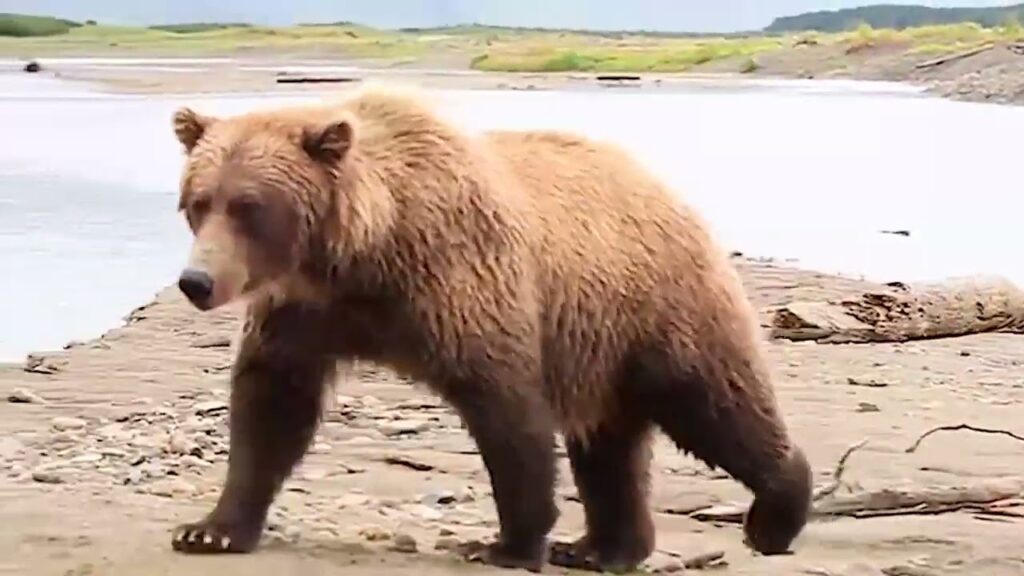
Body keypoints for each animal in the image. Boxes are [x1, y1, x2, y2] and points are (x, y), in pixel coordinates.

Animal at [166, 85, 813, 573]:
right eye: (198, 201)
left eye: (249, 206)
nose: (197, 281)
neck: (362, 254)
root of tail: (667, 189)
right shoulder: (303, 315)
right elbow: (270, 406)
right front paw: (211, 528)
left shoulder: (463, 281)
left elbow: (504, 408)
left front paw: (505, 543)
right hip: (599, 344)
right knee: (608, 444)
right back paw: (604, 548)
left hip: (659, 308)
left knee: (714, 403)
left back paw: (775, 513)